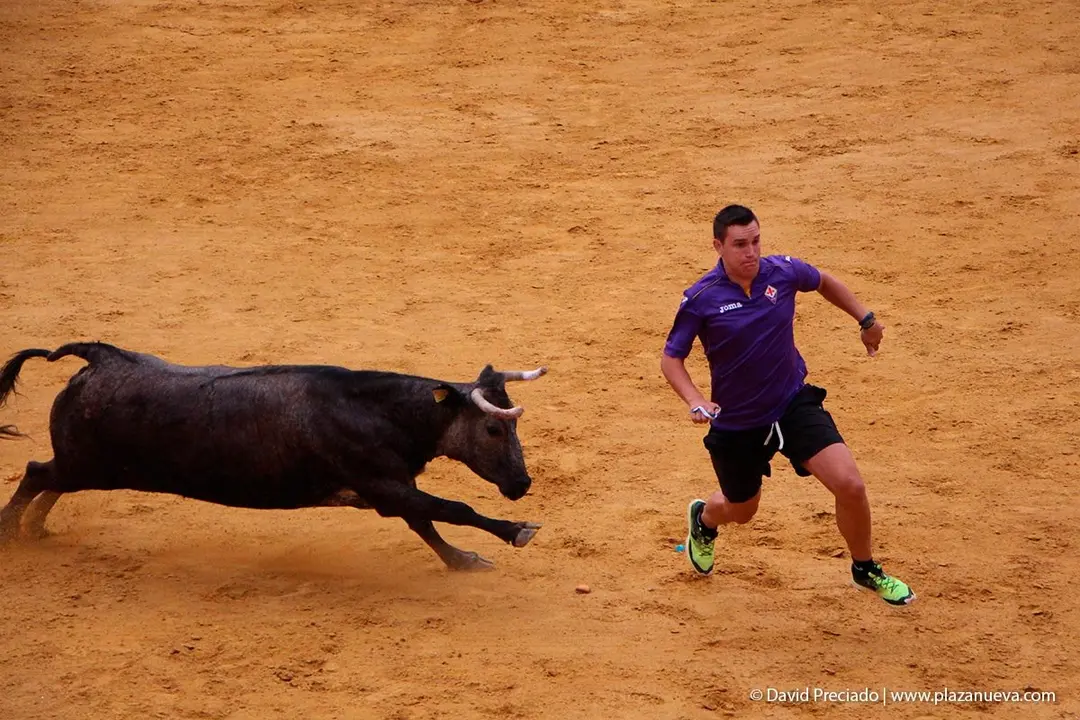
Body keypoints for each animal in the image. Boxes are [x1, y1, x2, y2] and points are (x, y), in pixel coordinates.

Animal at [0, 342, 547, 571]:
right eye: (494, 427)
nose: (522, 484)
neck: (378, 410)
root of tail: (100, 357)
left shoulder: (389, 490)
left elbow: (427, 523)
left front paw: (463, 561)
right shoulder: (382, 485)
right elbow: (451, 509)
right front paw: (515, 533)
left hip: (91, 468)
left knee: (49, 481)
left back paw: (37, 528)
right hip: (86, 463)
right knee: (35, 473)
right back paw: (12, 533)